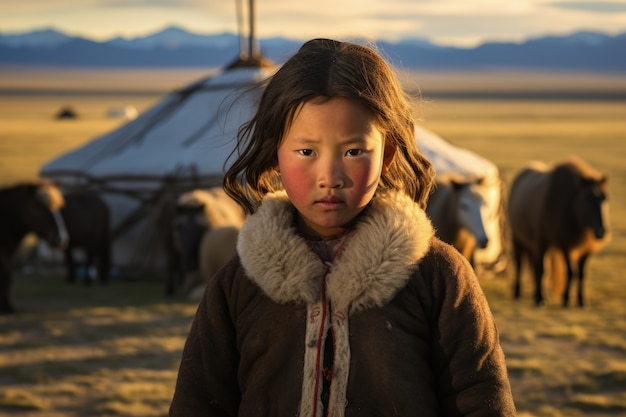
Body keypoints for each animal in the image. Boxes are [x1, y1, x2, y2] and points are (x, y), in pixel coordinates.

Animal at [0, 179, 68, 312]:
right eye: (40, 207)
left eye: (60, 206)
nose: (61, 238)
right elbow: (4, 275)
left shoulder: (9, 252)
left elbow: (7, 276)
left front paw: (8, 306)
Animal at [504, 157, 608, 306]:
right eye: (587, 199)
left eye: (604, 198)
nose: (601, 231)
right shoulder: (565, 246)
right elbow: (570, 272)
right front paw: (565, 299)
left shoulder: (585, 250)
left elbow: (581, 274)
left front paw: (581, 300)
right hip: (520, 239)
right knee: (522, 265)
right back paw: (523, 293)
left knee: (536, 267)